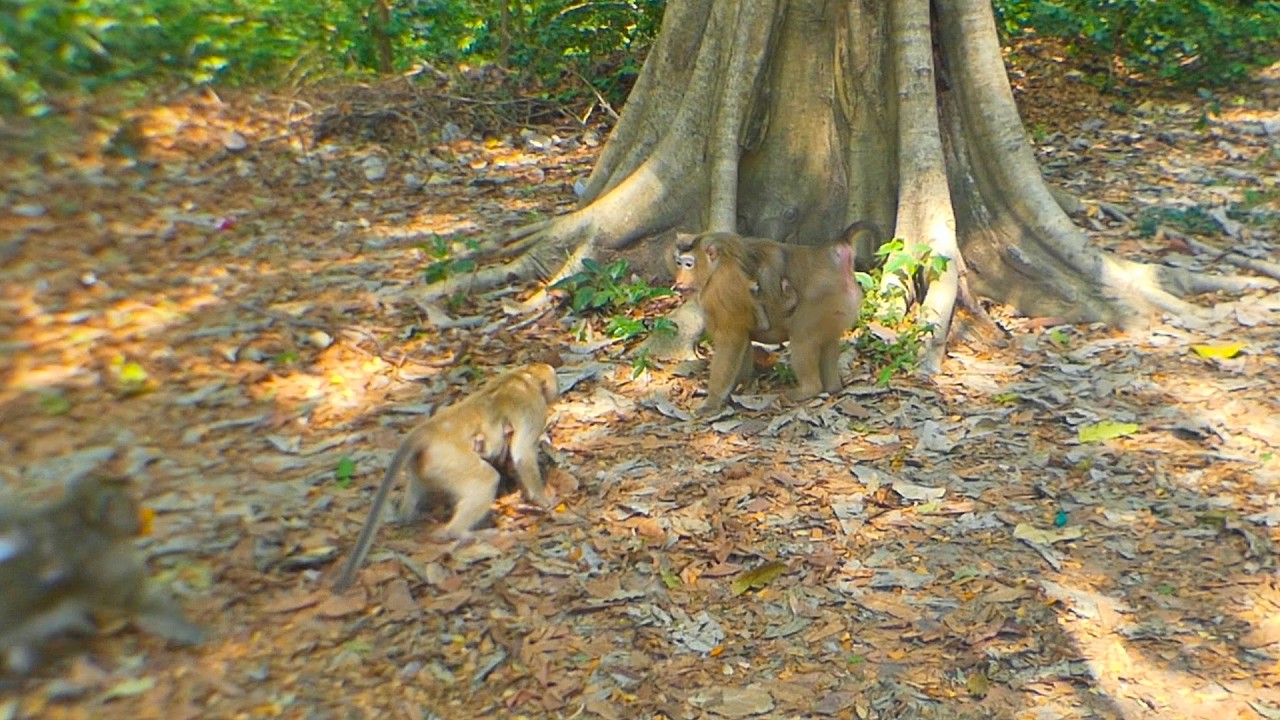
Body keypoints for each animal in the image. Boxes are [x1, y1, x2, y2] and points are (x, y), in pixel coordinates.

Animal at [0, 477, 204, 674]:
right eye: (130, 504)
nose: (141, 520)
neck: (82, 519)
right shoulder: (109, 567)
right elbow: (143, 603)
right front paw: (193, 631)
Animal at [333, 363, 559, 592]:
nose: (555, 391)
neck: (524, 376)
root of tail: (426, 430)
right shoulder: (533, 406)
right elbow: (522, 454)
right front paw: (544, 500)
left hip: (426, 464)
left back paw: (407, 516)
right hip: (450, 459)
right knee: (486, 479)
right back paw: (462, 533)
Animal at [672, 223, 874, 413]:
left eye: (689, 264)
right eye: (679, 263)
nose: (678, 282)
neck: (717, 266)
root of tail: (832, 251)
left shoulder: (723, 287)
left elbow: (731, 339)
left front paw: (713, 401)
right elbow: (743, 339)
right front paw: (740, 386)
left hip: (822, 300)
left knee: (801, 336)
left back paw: (809, 389)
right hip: (838, 306)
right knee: (828, 339)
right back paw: (833, 387)